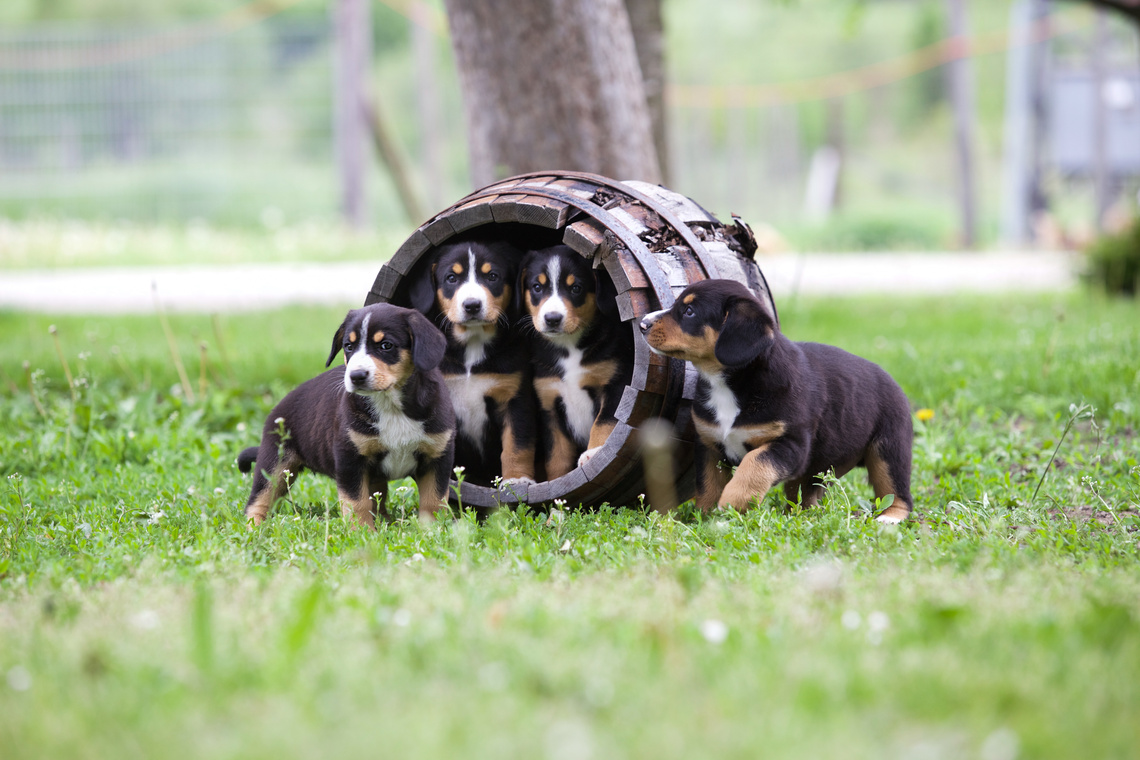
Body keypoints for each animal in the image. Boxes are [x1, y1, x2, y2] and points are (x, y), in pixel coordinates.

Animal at [237, 303, 453, 528]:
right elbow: (357, 502)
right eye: (349, 347)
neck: (390, 405)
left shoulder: (437, 458)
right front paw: (362, 531)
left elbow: (433, 501)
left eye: (386, 345)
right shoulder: (350, 459)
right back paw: (254, 527)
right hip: (275, 462)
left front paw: (431, 530)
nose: (356, 376)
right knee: (258, 500)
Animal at [408, 238, 535, 487]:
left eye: (492, 276)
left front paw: (517, 479)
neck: (473, 344)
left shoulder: (515, 398)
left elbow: (517, 445)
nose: (472, 305)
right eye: (451, 278)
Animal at [522, 247, 638, 478]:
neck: (569, 348)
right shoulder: (550, 402)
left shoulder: (616, 384)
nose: (552, 318)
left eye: (576, 288)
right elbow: (557, 456)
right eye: (537, 287)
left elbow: (603, 422)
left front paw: (594, 453)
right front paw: (557, 483)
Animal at [638, 279, 912, 524]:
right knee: (805, 494)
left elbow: (754, 464)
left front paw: (733, 502)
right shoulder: (708, 445)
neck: (730, 383)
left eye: (689, 311)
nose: (642, 323)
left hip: (889, 449)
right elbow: (708, 485)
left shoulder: (790, 444)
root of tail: (891, 380)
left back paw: (888, 519)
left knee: (898, 494)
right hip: (817, 467)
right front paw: (705, 519)